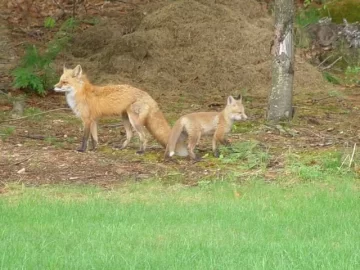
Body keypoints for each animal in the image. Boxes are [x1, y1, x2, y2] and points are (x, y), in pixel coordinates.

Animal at [54, 64, 188, 155]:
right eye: (59, 80)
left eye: (64, 82)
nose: (54, 87)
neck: (81, 94)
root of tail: (148, 95)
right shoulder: (94, 120)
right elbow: (94, 138)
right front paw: (94, 149)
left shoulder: (87, 120)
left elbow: (85, 138)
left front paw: (82, 150)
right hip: (125, 118)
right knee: (129, 135)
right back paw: (122, 147)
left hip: (134, 120)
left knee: (144, 136)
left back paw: (141, 151)